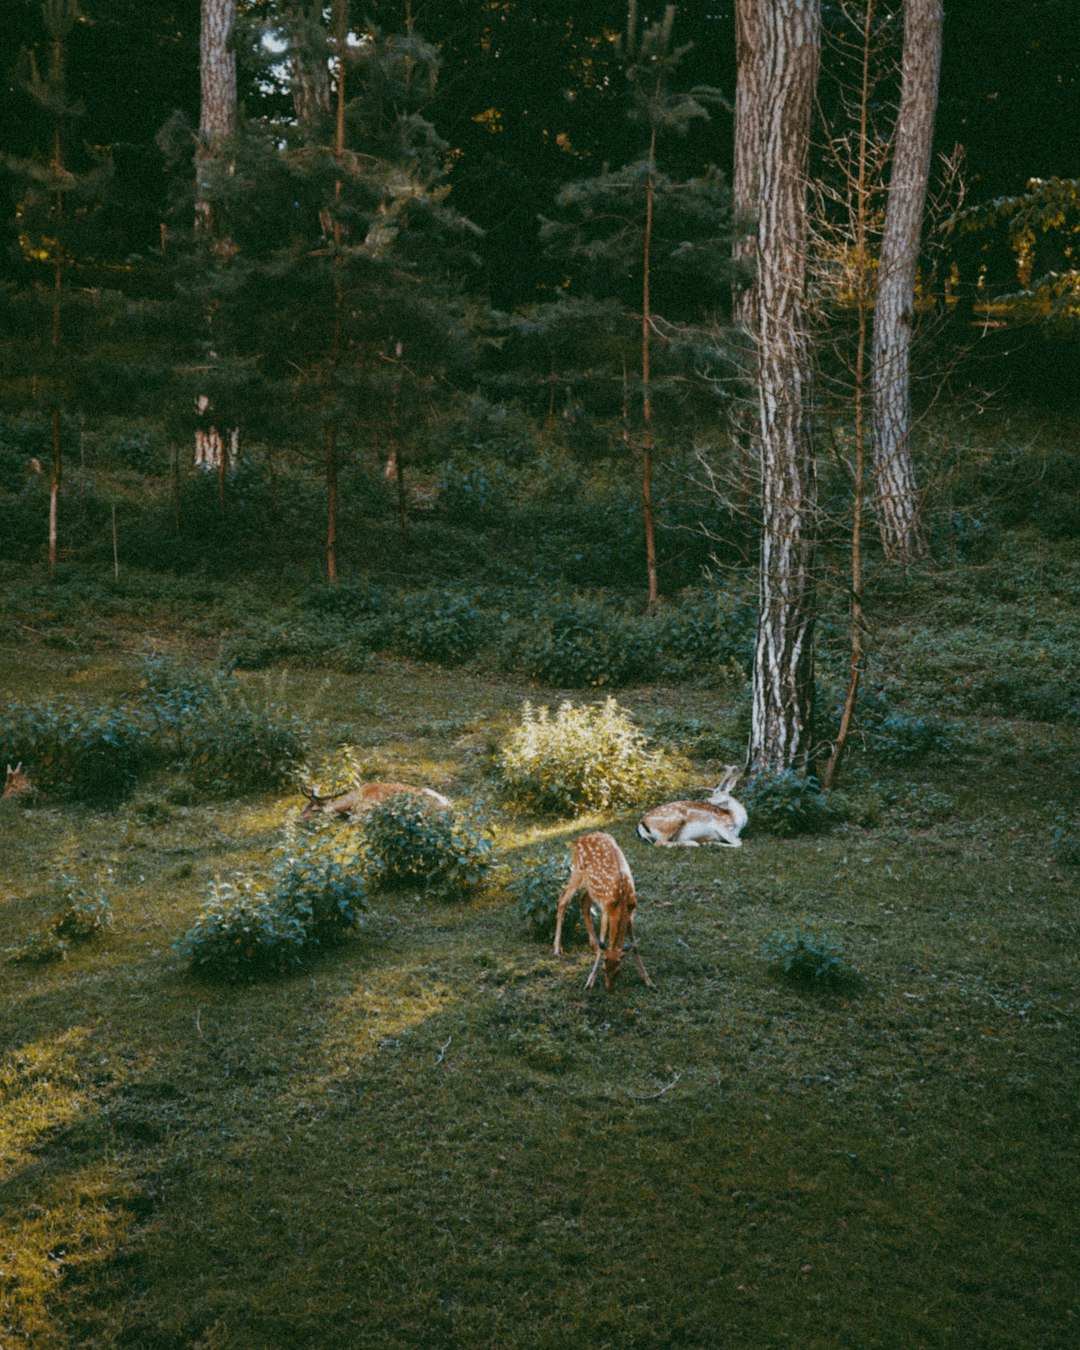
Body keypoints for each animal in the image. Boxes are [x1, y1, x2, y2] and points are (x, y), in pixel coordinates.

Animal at [553, 831, 653, 993]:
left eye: (619, 971)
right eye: (604, 967)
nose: (609, 987)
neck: (621, 902)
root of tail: (580, 839)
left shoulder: (631, 912)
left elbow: (634, 946)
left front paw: (648, 980)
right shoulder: (606, 911)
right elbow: (603, 946)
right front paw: (590, 981)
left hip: (591, 887)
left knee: (583, 901)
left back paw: (592, 943)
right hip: (577, 871)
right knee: (563, 899)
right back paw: (557, 948)